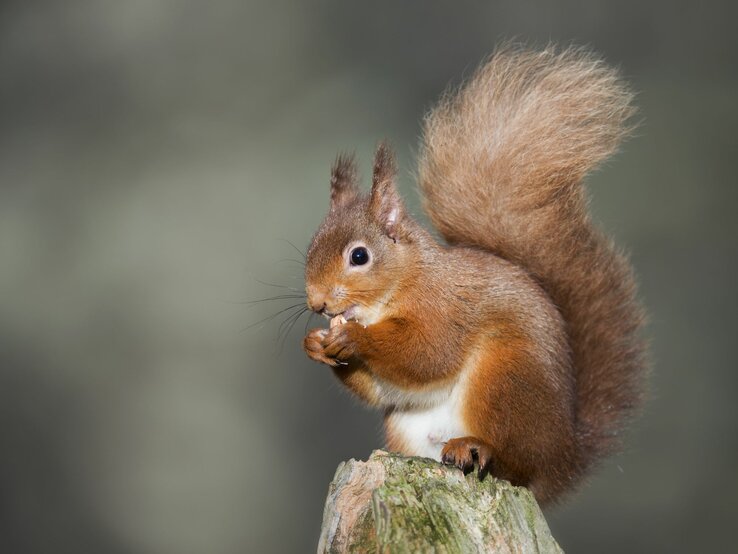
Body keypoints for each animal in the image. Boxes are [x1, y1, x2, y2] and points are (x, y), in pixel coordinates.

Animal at [300, 46, 644, 504]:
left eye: (359, 255)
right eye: (310, 247)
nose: (317, 302)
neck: (406, 281)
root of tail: (562, 456)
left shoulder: (445, 308)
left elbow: (427, 354)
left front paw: (353, 339)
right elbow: (383, 387)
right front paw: (315, 344)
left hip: (504, 378)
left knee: (514, 463)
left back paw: (477, 447)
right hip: (411, 425)